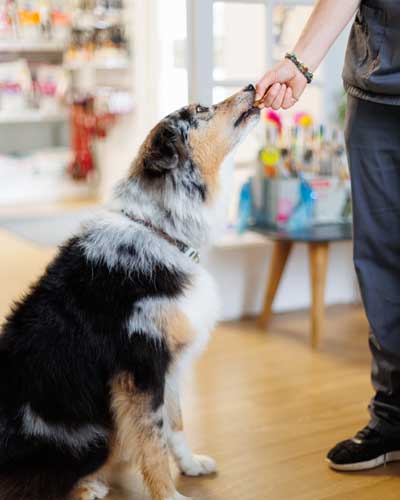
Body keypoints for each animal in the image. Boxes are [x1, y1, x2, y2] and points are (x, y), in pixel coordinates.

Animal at [0, 84, 260, 498]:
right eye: (201, 110)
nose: (252, 86)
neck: (161, 227)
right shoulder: (139, 369)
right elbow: (153, 443)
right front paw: (169, 495)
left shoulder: (168, 363)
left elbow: (175, 424)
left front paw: (190, 465)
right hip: (91, 435)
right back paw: (89, 486)